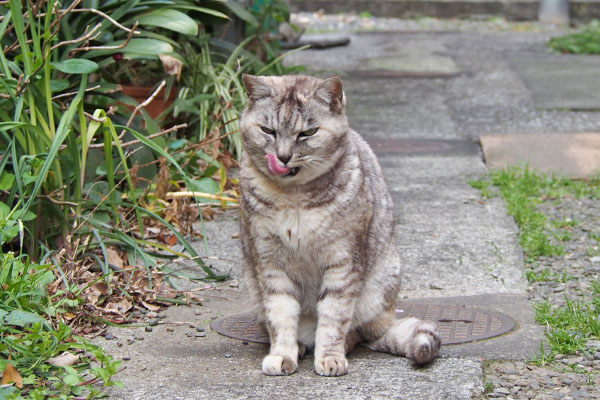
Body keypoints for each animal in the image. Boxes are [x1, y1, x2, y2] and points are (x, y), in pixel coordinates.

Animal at [239, 74, 440, 376]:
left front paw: (330, 358)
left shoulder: (343, 261)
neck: (293, 197)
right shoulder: (270, 263)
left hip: (380, 286)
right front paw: (283, 355)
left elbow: (334, 316)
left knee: (358, 333)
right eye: (268, 130)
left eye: (308, 133)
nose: (283, 156)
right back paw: (300, 346)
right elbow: (281, 315)